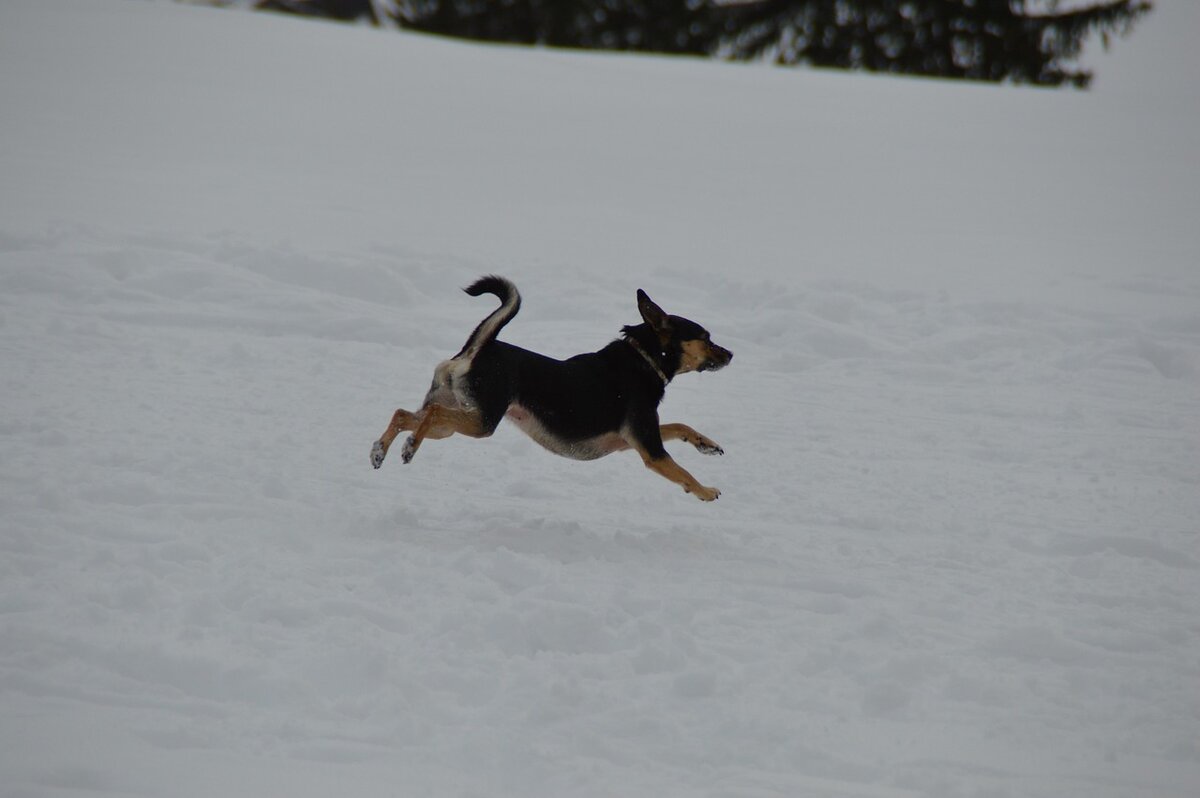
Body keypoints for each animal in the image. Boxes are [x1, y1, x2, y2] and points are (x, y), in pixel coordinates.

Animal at [369, 273, 729, 499]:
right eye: (706, 338)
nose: (731, 354)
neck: (644, 359)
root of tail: (476, 351)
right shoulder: (650, 449)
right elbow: (683, 472)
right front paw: (706, 491)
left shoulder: (630, 439)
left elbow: (680, 425)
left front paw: (707, 444)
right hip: (481, 421)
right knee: (431, 412)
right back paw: (409, 447)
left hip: (458, 419)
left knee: (404, 413)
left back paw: (380, 450)